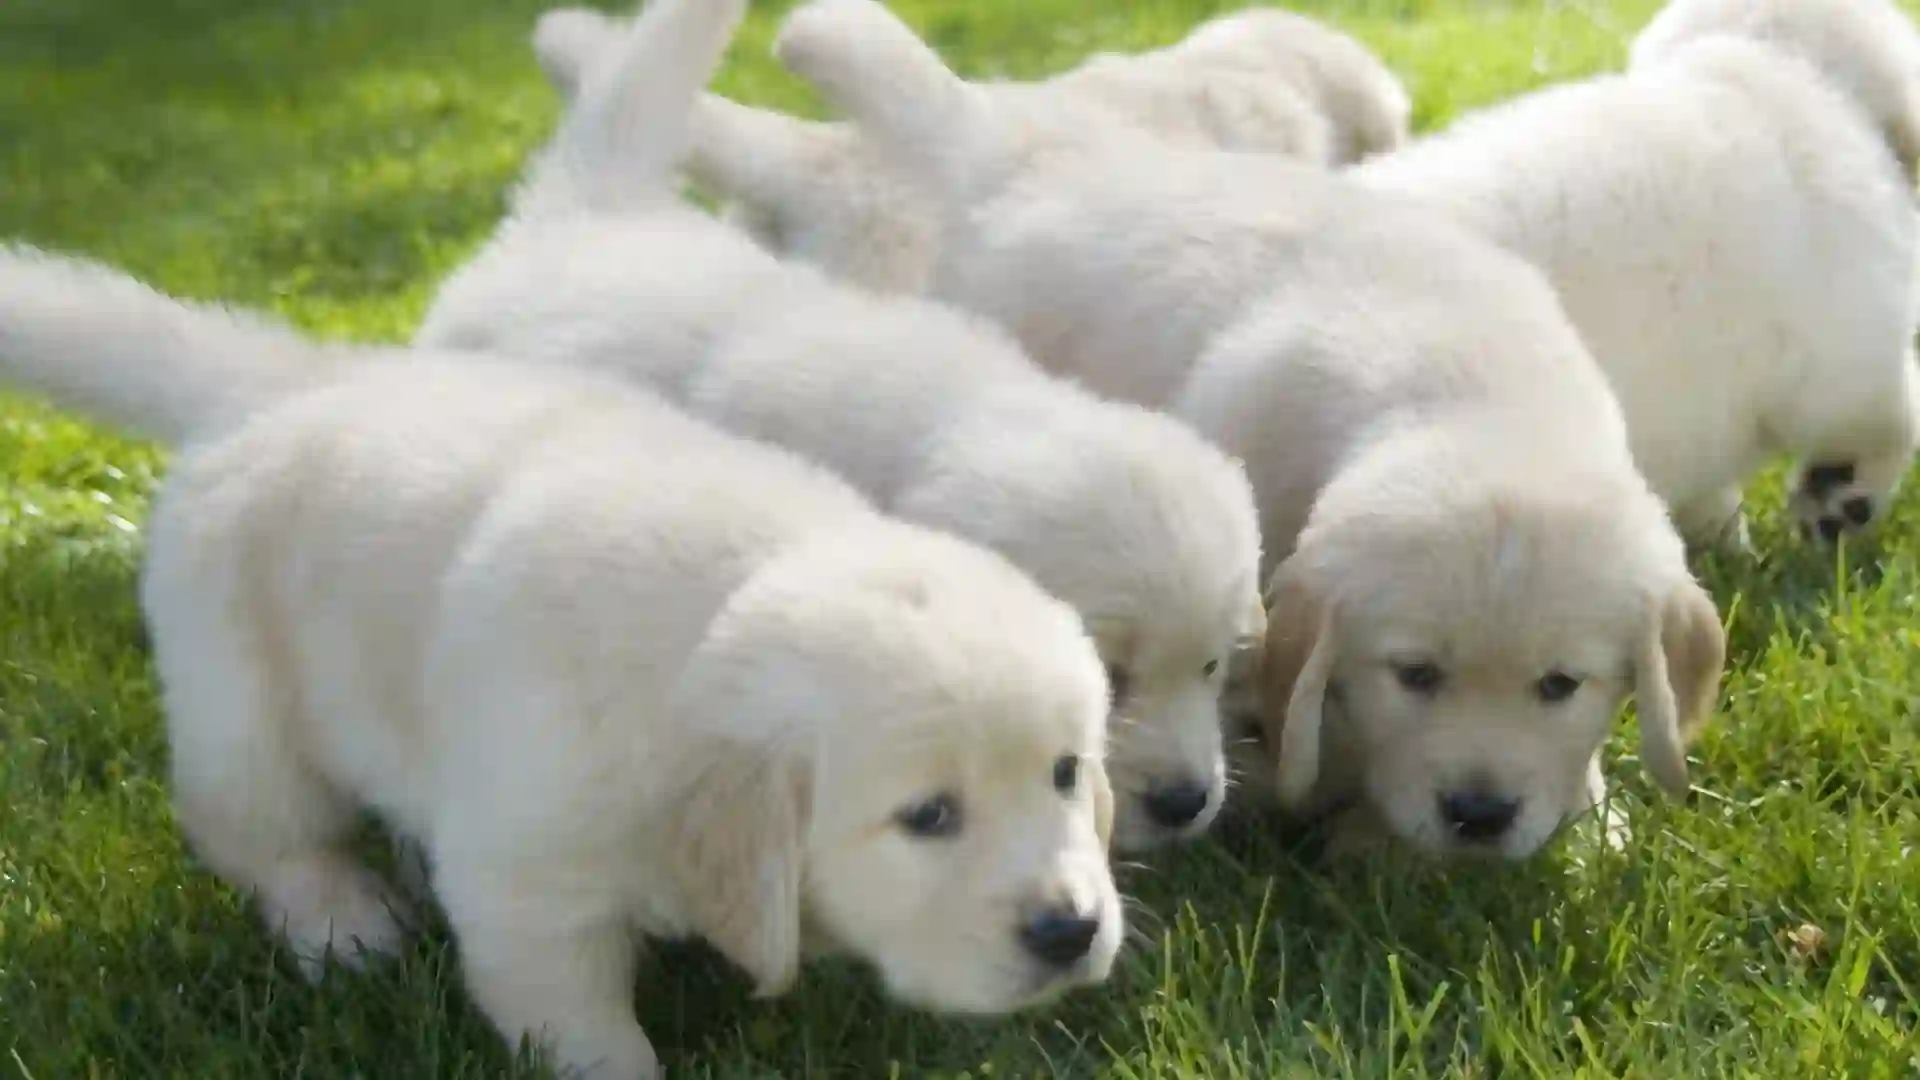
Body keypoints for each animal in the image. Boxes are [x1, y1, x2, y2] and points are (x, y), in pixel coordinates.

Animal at [775, 0, 1728, 857]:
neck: (1474, 395)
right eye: (1414, 675)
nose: (1479, 816)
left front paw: (1592, 815)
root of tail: (1023, 149)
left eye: (1561, 684)